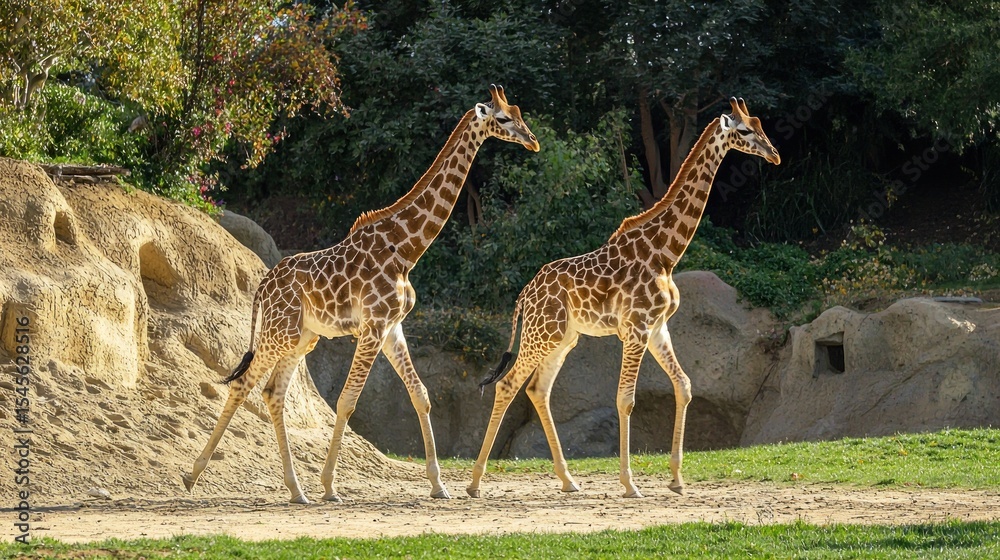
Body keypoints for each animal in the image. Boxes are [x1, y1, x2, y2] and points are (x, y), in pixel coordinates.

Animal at [183, 85, 539, 504]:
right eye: (503, 118)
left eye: (520, 112)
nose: (532, 141)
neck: (406, 249)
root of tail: (262, 287)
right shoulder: (372, 327)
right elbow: (348, 401)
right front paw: (329, 486)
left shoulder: (391, 327)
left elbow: (420, 394)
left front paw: (439, 485)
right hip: (279, 333)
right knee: (243, 385)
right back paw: (192, 475)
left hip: (303, 337)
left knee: (273, 392)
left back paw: (296, 490)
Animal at [467, 98, 779, 499]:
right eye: (744, 130)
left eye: (760, 124)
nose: (773, 154)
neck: (666, 253)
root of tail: (524, 296)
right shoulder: (636, 328)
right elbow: (625, 399)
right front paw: (631, 483)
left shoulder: (657, 328)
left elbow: (684, 386)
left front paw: (677, 479)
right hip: (542, 335)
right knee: (508, 384)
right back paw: (475, 483)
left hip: (563, 338)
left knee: (538, 390)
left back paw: (568, 480)